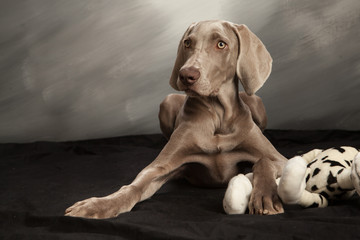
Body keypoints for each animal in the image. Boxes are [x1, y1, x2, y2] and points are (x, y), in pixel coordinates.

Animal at [66, 20, 288, 219]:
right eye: (188, 43)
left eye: (221, 44)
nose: (186, 75)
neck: (218, 116)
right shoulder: (159, 167)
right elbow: (133, 186)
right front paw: (99, 205)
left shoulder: (281, 159)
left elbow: (264, 161)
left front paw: (265, 197)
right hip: (168, 101)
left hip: (256, 102)